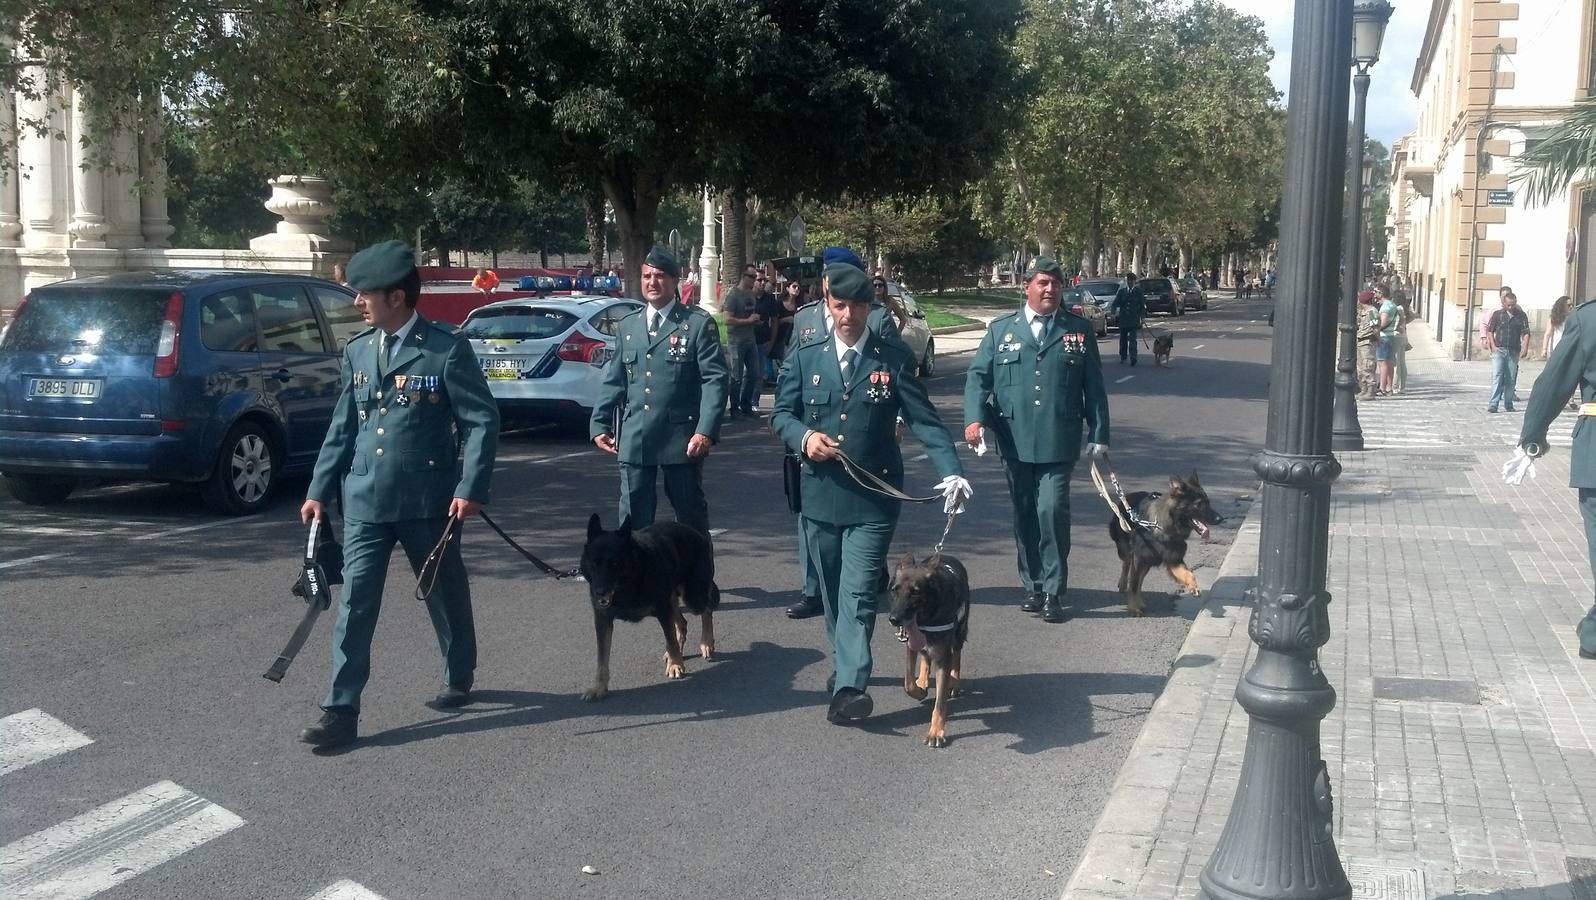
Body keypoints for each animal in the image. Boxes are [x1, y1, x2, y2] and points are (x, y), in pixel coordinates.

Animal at [577, 513, 721, 702]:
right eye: (594, 563)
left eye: (614, 563)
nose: (599, 592)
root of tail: (699, 534)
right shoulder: (602, 621)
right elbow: (602, 659)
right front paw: (599, 687)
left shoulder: (663, 611)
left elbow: (670, 640)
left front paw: (675, 665)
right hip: (674, 599)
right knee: (682, 622)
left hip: (693, 597)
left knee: (707, 610)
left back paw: (706, 643)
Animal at [887, 552, 970, 750]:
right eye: (894, 590)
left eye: (915, 591)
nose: (893, 619)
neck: (928, 616)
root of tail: (946, 555)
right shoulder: (910, 646)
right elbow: (908, 683)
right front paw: (919, 690)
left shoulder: (943, 658)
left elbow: (939, 704)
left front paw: (936, 733)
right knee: (925, 656)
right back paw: (923, 680)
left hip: (959, 634)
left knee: (957, 656)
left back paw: (954, 682)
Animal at [1110, 475, 1219, 615]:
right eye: (1198, 504)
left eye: (1208, 502)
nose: (1220, 519)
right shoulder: (1139, 559)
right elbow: (1133, 585)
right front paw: (1133, 608)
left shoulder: (1173, 559)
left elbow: (1189, 573)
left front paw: (1193, 586)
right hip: (1128, 552)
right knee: (1127, 564)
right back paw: (1124, 584)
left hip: (1147, 563)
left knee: (1139, 580)